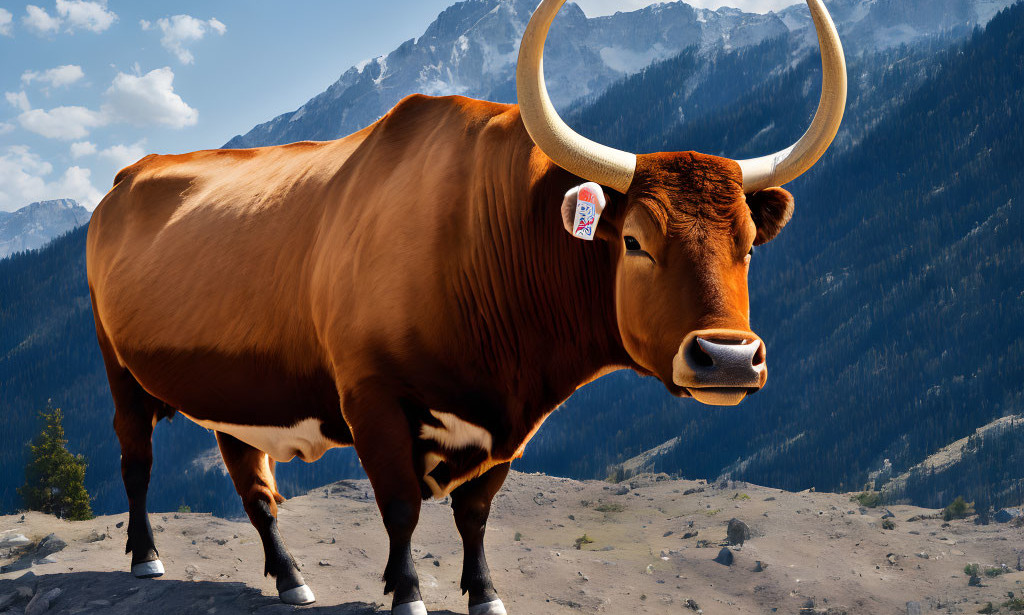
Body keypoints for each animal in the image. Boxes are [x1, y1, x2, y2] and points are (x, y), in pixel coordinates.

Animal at [85, 0, 845, 613]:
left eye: (748, 243)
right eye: (635, 240)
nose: (728, 358)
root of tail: (130, 175)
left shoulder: (507, 425)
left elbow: (475, 511)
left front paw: (485, 593)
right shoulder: (373, 398)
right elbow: (401, 505)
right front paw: (407, 594)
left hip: (236, 391)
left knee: (254, 483)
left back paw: (291, 578)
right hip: (117, 369)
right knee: (135, 458)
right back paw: (148, 558)